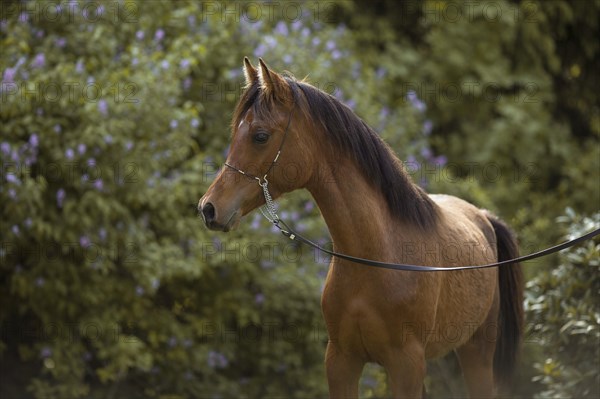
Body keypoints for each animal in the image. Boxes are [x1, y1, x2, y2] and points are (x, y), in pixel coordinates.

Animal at [199, 57, 524, 398]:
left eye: (260, 136)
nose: (208, 208)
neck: (377, 256)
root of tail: (484, 218)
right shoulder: (342, 361)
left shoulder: (406, 364)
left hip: (476, 353)